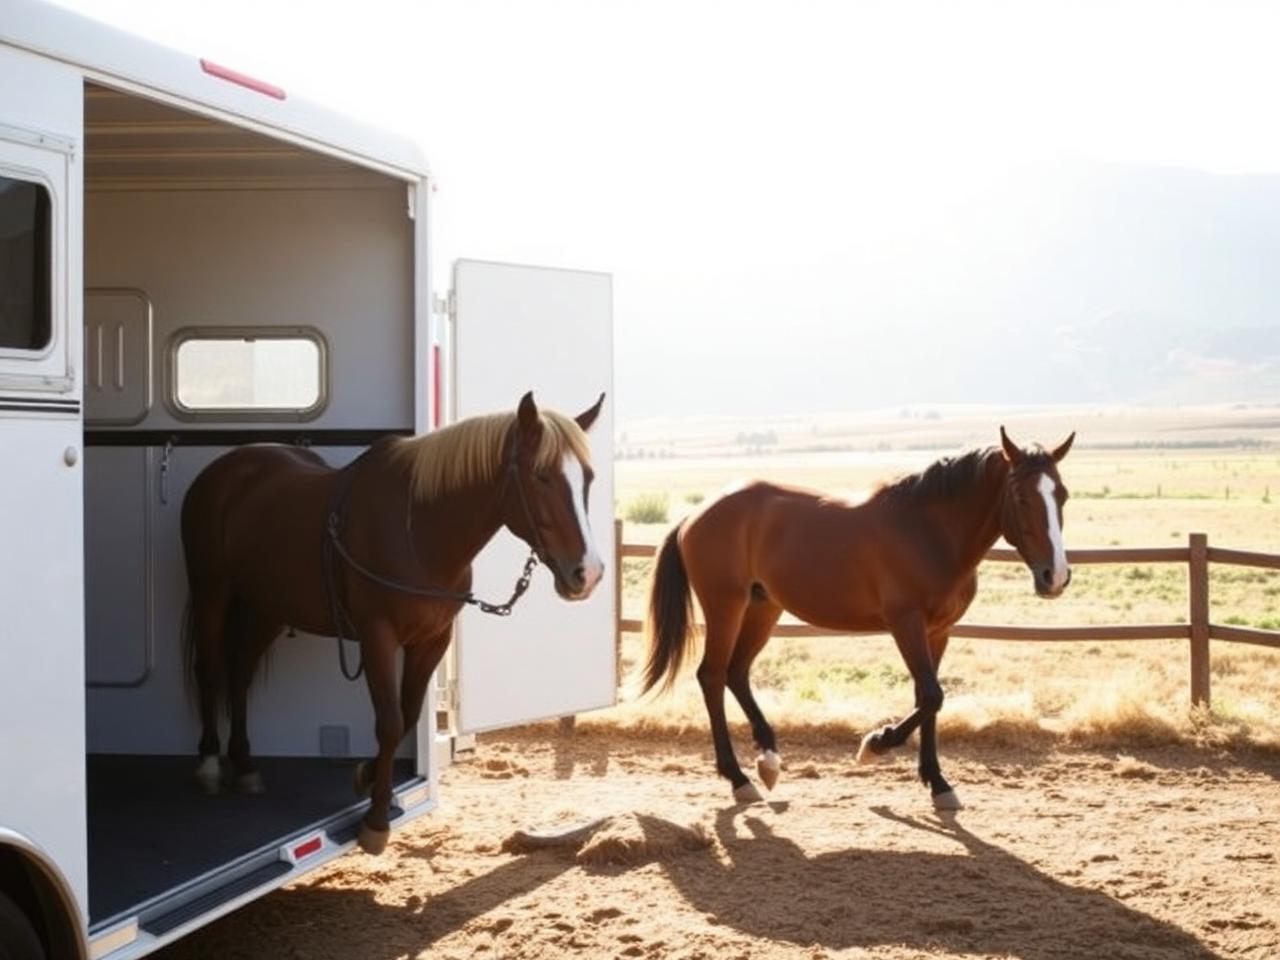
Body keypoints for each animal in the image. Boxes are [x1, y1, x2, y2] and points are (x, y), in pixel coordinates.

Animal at [181, 391, 606, 853]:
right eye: (541, 476)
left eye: (587, 477)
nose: (587, 574)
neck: (418, 532)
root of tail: (225, 471)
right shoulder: (377, 638)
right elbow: (389, 721)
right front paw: (376, 821)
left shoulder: (431, 641)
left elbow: (407, 713)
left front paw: (368, 777)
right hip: (212, 591)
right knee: (210, 669)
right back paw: (208, 763)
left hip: (268, 607)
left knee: (240, 674)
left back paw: (244, 764)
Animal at [640, 426, 1074, 810]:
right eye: (1020, 496)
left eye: (1063, 495)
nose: (1055, 577)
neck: (928, 531)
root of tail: (694, 515)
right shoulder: (906, 624)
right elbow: (932, 695)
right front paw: (874, 745)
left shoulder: (939, 631)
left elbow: (928, 699)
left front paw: (938, 783)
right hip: (725, 607)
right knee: (712, 676)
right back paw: (739, 778)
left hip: (763, 608)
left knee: (736, 672)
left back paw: (768, 760)